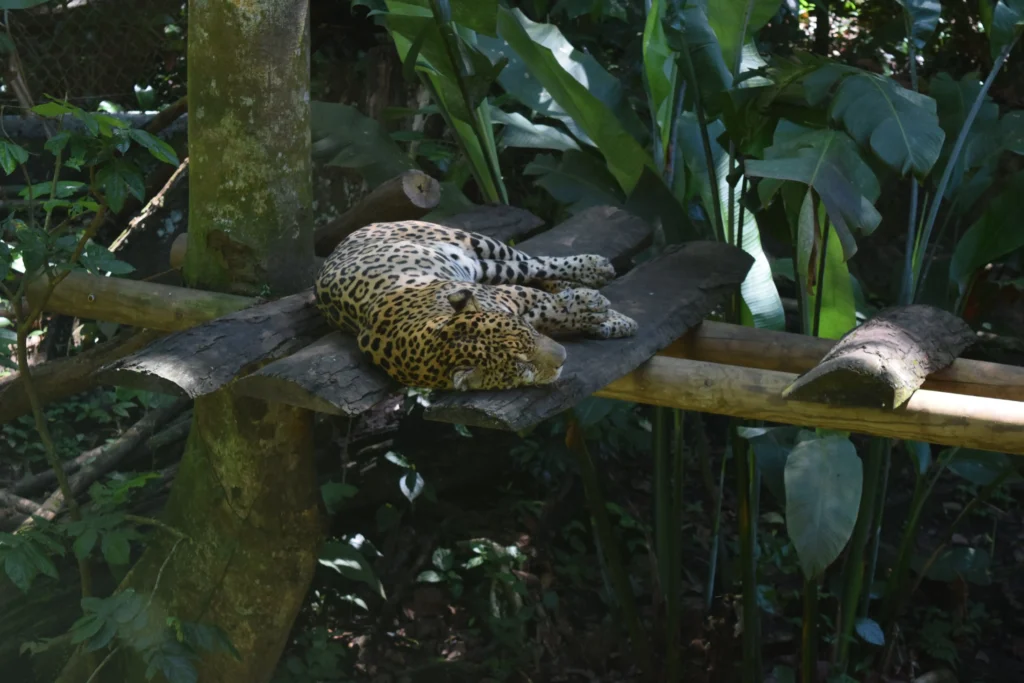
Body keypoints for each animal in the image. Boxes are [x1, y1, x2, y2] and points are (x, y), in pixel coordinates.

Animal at [313, 220, 639, 391]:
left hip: (475, 243)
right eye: (521, 365)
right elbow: (547, 312)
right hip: (484, 268)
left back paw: (594, 270)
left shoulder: (508, 295)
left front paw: (610, 317)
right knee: (533, 271)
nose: (562, 359)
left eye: (527, 337)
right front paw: (601, 317)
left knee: (534, 261)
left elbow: (548, 307)